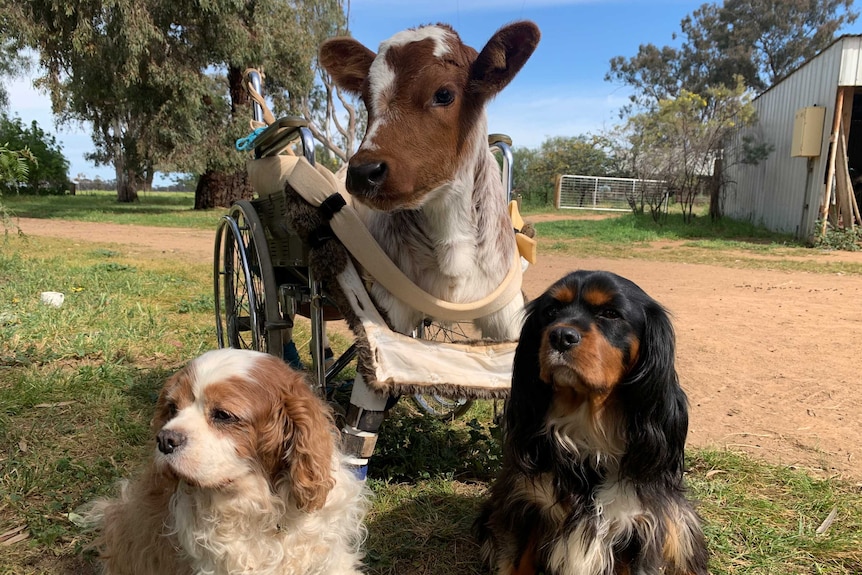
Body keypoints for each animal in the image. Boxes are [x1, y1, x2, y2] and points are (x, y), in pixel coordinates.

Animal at [480, 272, 708, 575]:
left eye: (610, 313)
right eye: (551, 311)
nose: (560, 336)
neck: (587, 433)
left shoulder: (642, 527)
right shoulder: (523, 506)